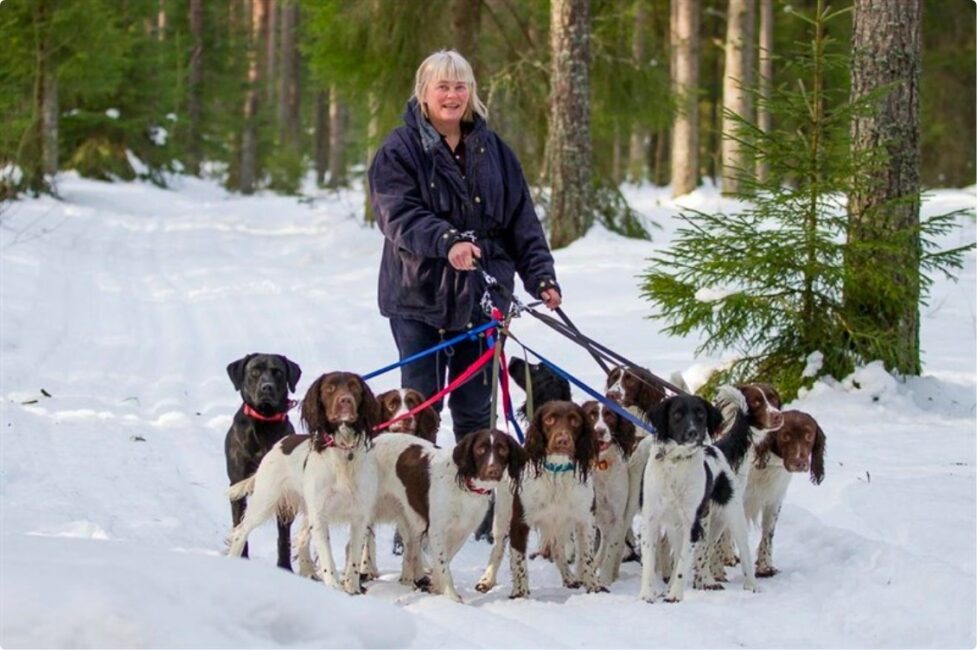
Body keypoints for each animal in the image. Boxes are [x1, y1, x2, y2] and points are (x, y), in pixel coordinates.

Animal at [226, 350, 300, 568]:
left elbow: (284, 536)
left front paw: (284, 567)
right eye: (254, 371)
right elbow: (239, 524)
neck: (264, 422)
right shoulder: (238, 483)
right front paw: (242, 558)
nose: (266, 387)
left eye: (278, 372)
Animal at [636, 394, 760, 604]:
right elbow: (650, 562)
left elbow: (682, 563)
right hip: (676, 528)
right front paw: (647, 595)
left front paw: (675, 595)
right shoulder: (651, 519)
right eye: (677, 414)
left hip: (732, 515)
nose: (693, 433)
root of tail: (716, 449)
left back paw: (752, 586)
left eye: (701, 414)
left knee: (744, 552)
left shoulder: (692, 524)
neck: (677, 463)